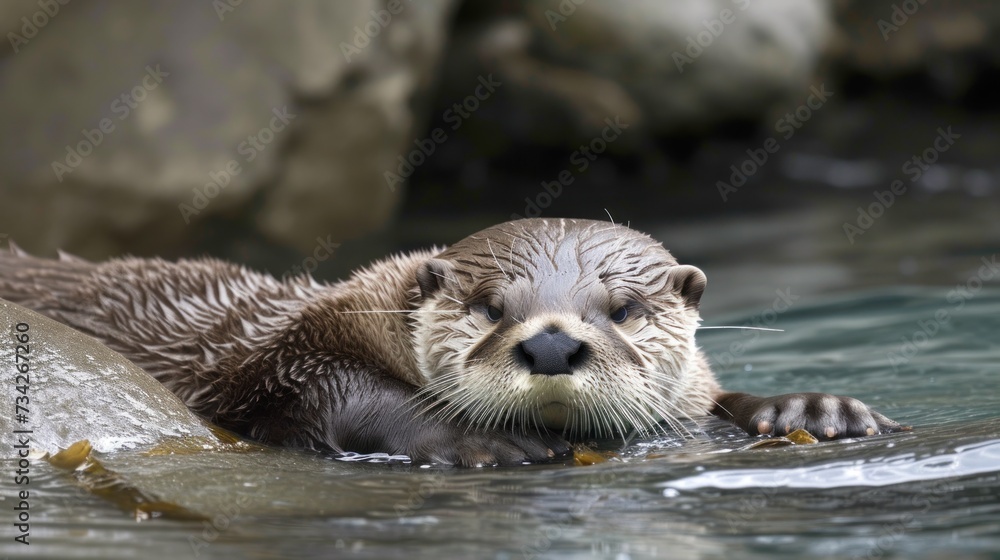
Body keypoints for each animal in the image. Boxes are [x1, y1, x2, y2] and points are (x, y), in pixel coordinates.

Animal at [0, 218, 903, 466]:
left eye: (622, 309)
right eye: (490, 305)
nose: (551, 346)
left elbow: (712, 400)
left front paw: (811, 409)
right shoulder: (285, 348)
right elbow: (333, 389)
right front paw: (484, 443)